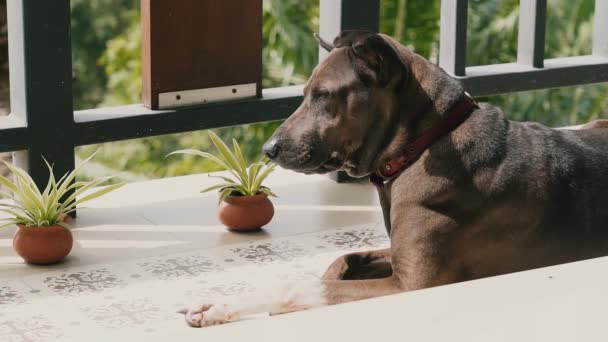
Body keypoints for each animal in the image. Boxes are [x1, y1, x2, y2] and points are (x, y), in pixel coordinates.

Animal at [183, 31, 608, 326]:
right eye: (305, 93)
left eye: (323, 95)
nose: (268, 149)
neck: (424, 143)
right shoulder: (397, 256)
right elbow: (339, 261)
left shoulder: (410, 283)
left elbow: (303, 283)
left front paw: (225, 305)